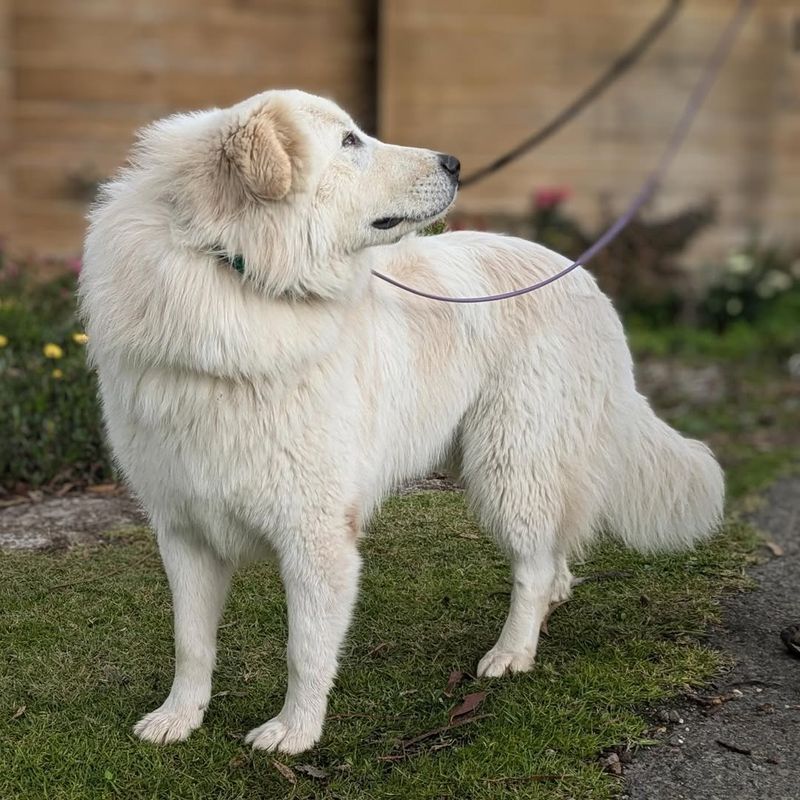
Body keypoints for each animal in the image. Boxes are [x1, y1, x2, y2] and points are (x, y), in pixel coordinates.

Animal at [81, 90, 724, 752]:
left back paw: (512, 653)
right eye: (349, 142)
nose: (455, 162)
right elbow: (190, 643)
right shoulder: (184, 530)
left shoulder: (316, 536)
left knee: (533, 566)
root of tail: (583, 278)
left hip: (507, 468)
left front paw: (295, 733)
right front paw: (179, 718)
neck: (235, 278)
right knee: (552, 555)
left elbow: (304, 650)